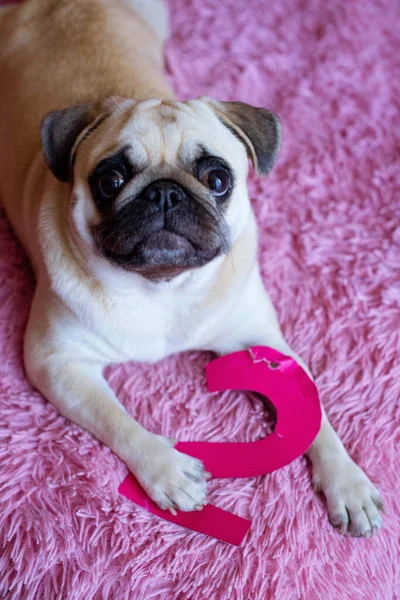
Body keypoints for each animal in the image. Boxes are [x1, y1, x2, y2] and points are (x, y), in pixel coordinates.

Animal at [0, 0, 382, 536]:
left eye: (218, 179)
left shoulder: (267, 343)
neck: (162, 289)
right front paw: (167, 469)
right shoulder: (57, 363)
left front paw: (348, 481)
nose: (165, 192)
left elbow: (317, 416)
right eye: (110, 180)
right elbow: (116, 418)